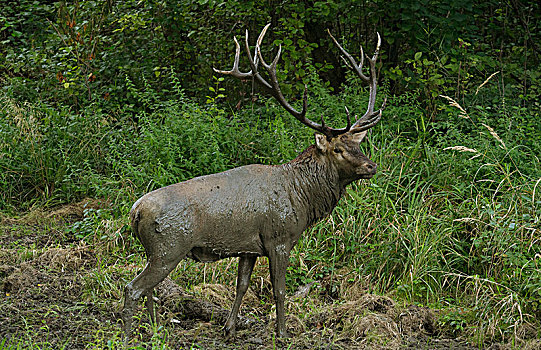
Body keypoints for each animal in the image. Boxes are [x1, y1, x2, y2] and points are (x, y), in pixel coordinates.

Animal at [122, 23, 384, 340]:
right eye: (338, 149)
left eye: (357, 144)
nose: (371, 166)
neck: (302, 197)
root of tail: (135, 212)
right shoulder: (279, 238)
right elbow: (279, 291)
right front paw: (282, 334)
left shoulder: (248, 247)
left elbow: (242, 286)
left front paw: (230, 328)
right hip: (168, 247)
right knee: (133, 287)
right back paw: (127, 336)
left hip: (156, 251)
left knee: (149, 288)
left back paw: (156, 328)